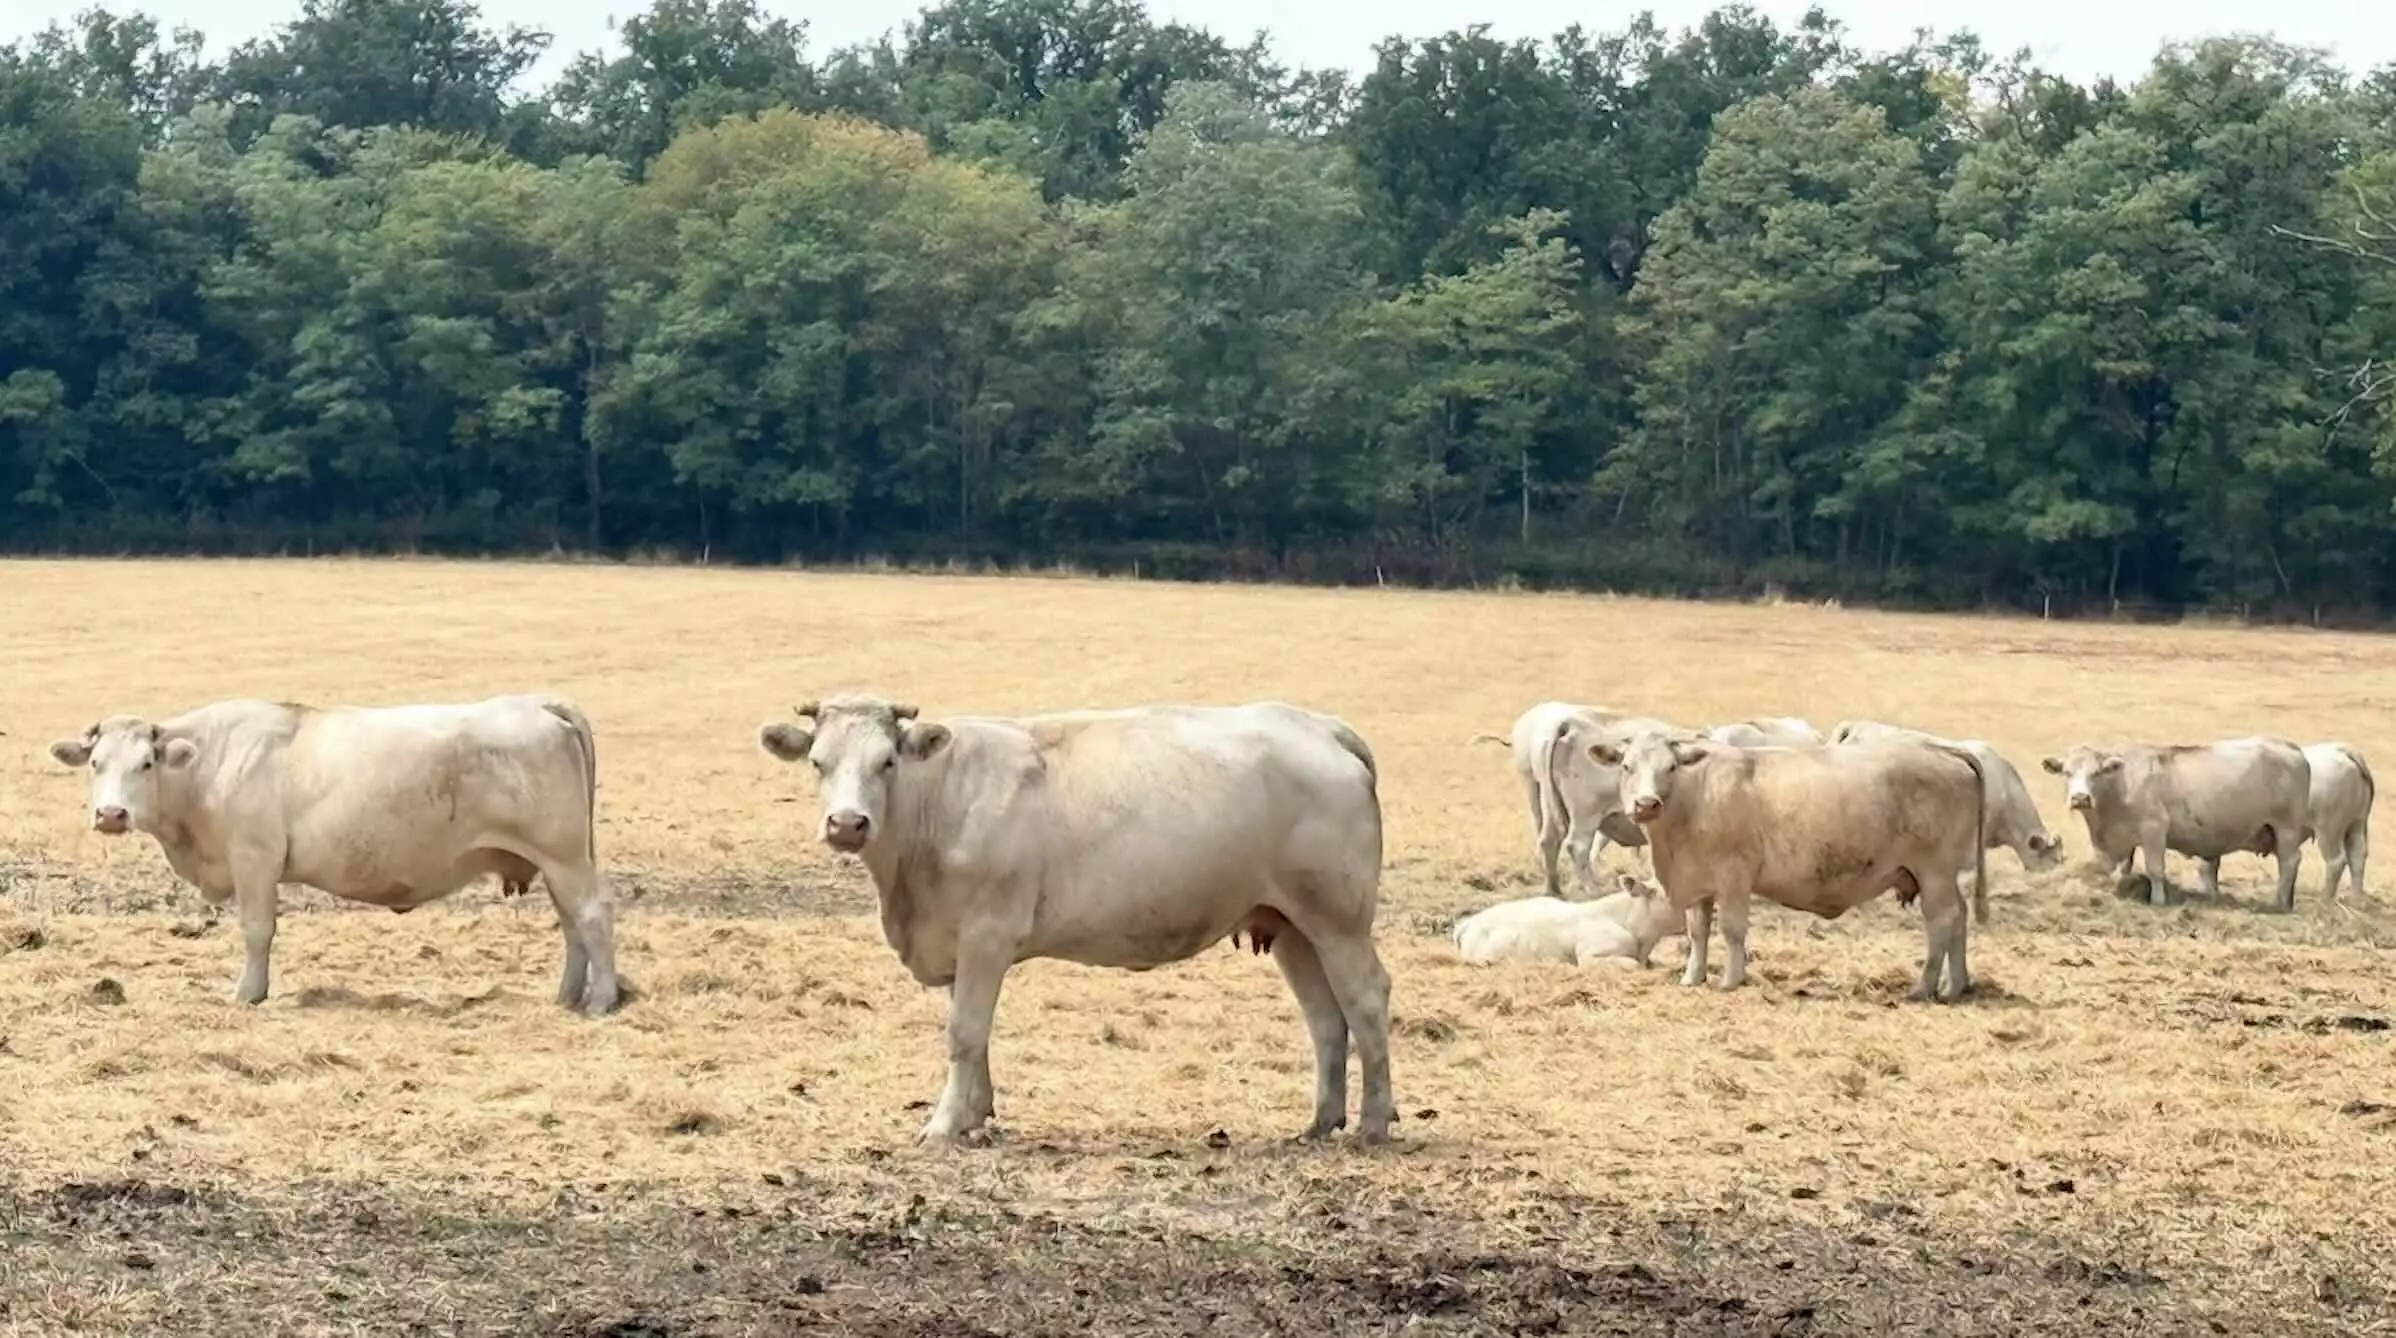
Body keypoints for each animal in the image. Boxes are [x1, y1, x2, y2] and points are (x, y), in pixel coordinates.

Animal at [48, 695, 616, 1014]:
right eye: (95, 763)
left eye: (145, 764)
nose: (112, 814)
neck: (210, 766)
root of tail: (540, 702)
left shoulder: (254, 859)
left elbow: (257, 931)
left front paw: (248, 993)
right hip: (556, 863)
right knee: (572, 923)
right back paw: (567, 996)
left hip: (563, 856)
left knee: (592, 917)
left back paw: (602, 1000)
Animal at [757, 693, 1395, 1146]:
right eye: (818, 762)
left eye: (886, 762)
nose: (847, 824)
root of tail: (1319, 726)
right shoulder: (957, 940)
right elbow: (974, 1033)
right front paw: (975, 1116)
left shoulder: (988, 932)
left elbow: (964, 1033)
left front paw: (942, 1126)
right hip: (1292, 924)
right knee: (1325, 1017)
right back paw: (1321, 1122)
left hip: (1339, 920)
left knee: (1365, 999)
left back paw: (1373, 1122)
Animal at [1592, 729, 1987, 1002]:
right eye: (1626, 766)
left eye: (1671, 767)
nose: (1646, 804)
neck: (1695, 798)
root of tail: (1942, 750)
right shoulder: (1698, 882)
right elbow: (1698, 932)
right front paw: (1693, 977)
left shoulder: (1735, 876)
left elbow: (1732, 930)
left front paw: (1731, 980)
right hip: (1942, 876)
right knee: (1960, 915)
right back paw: (1956, 984)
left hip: (1934, 872)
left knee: (1942, 921)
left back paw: (1924, 987)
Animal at [2040, 738, 2311, 910]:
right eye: (2066, 773)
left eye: (2096, 773)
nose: (2080, 798)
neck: (2121, 783)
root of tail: (2292, 749)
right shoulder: (2124, 839)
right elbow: (2124, 869)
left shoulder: (2154, 830)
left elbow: (2155, 870)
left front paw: (2158, 901)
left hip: (2286, 828)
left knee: (2289, 863)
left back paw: (2279, 904)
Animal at [2301, 742, 2374, 901]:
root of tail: (2343, 751)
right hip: (2357, 824)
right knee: (2358, 857)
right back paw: (2355, 900)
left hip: (2329, 831)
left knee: (2336, 862)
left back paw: (2324, 899)